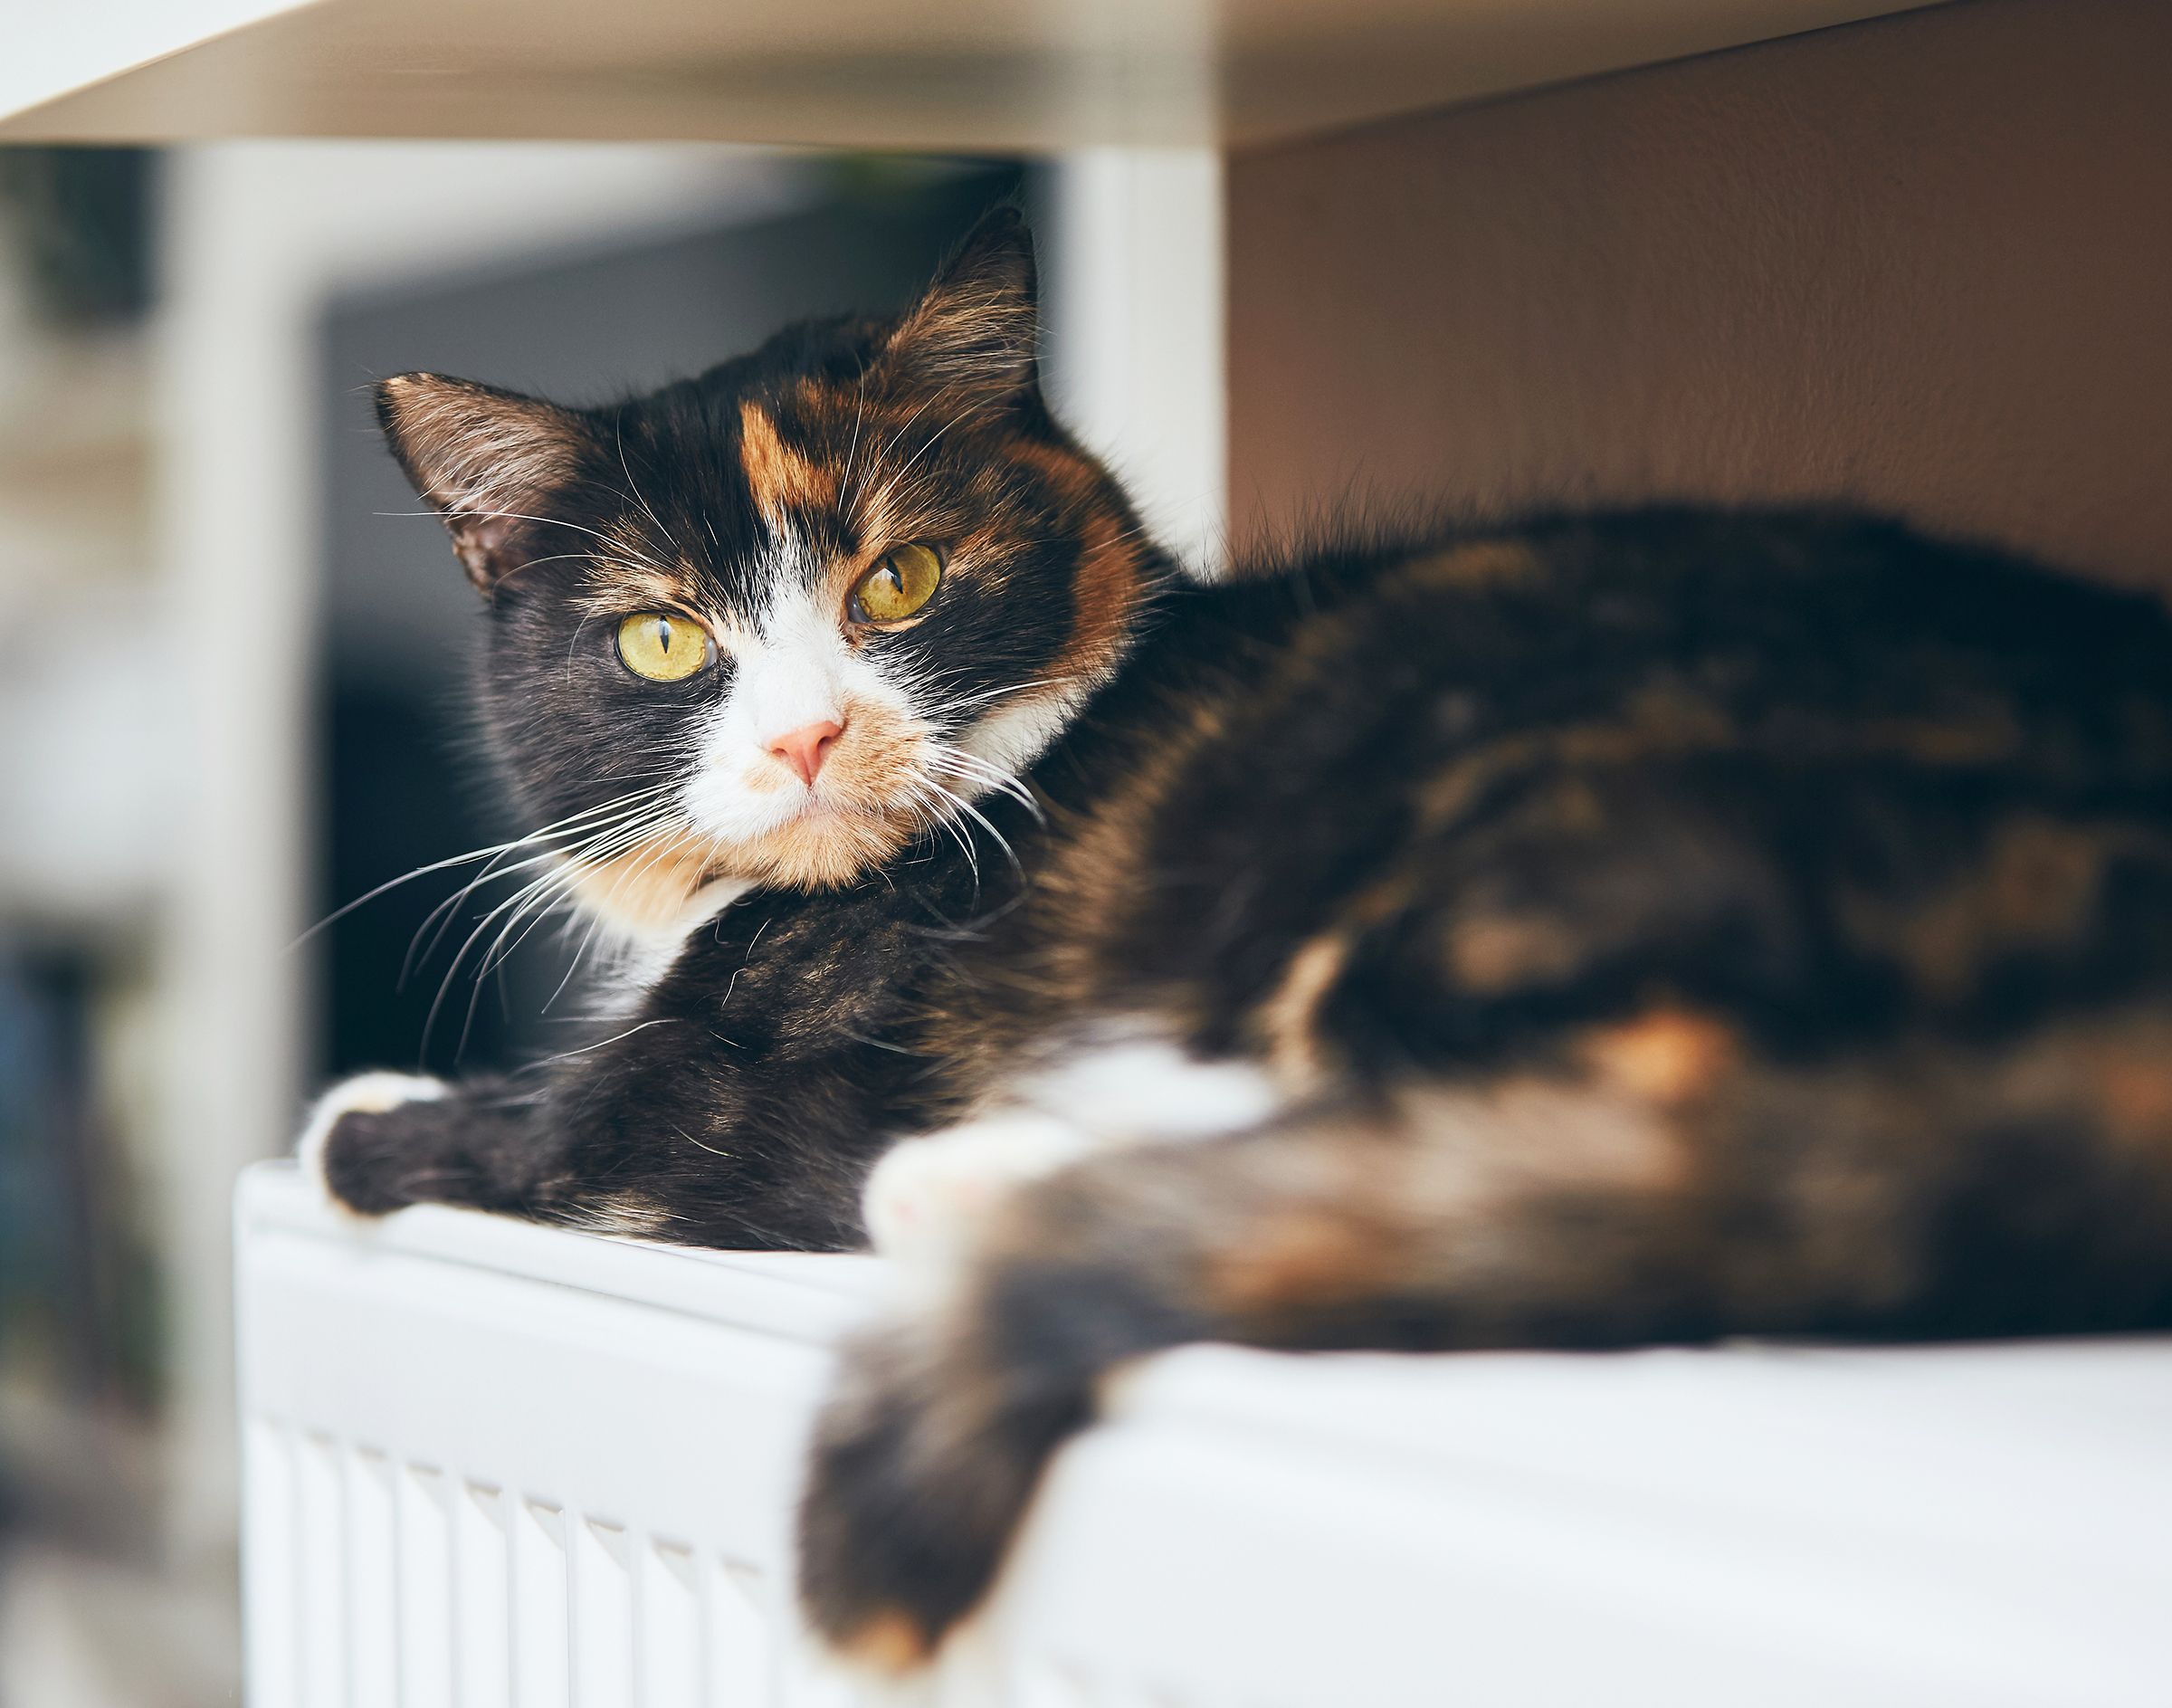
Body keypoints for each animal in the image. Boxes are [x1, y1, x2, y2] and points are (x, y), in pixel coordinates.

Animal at [301, 203, 2172, 1660]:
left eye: (898, 581)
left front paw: (371, 1113)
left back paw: (1000, 1175)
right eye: (665, 641)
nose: (810, 737)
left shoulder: (744, 1071)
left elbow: (571, 1126)